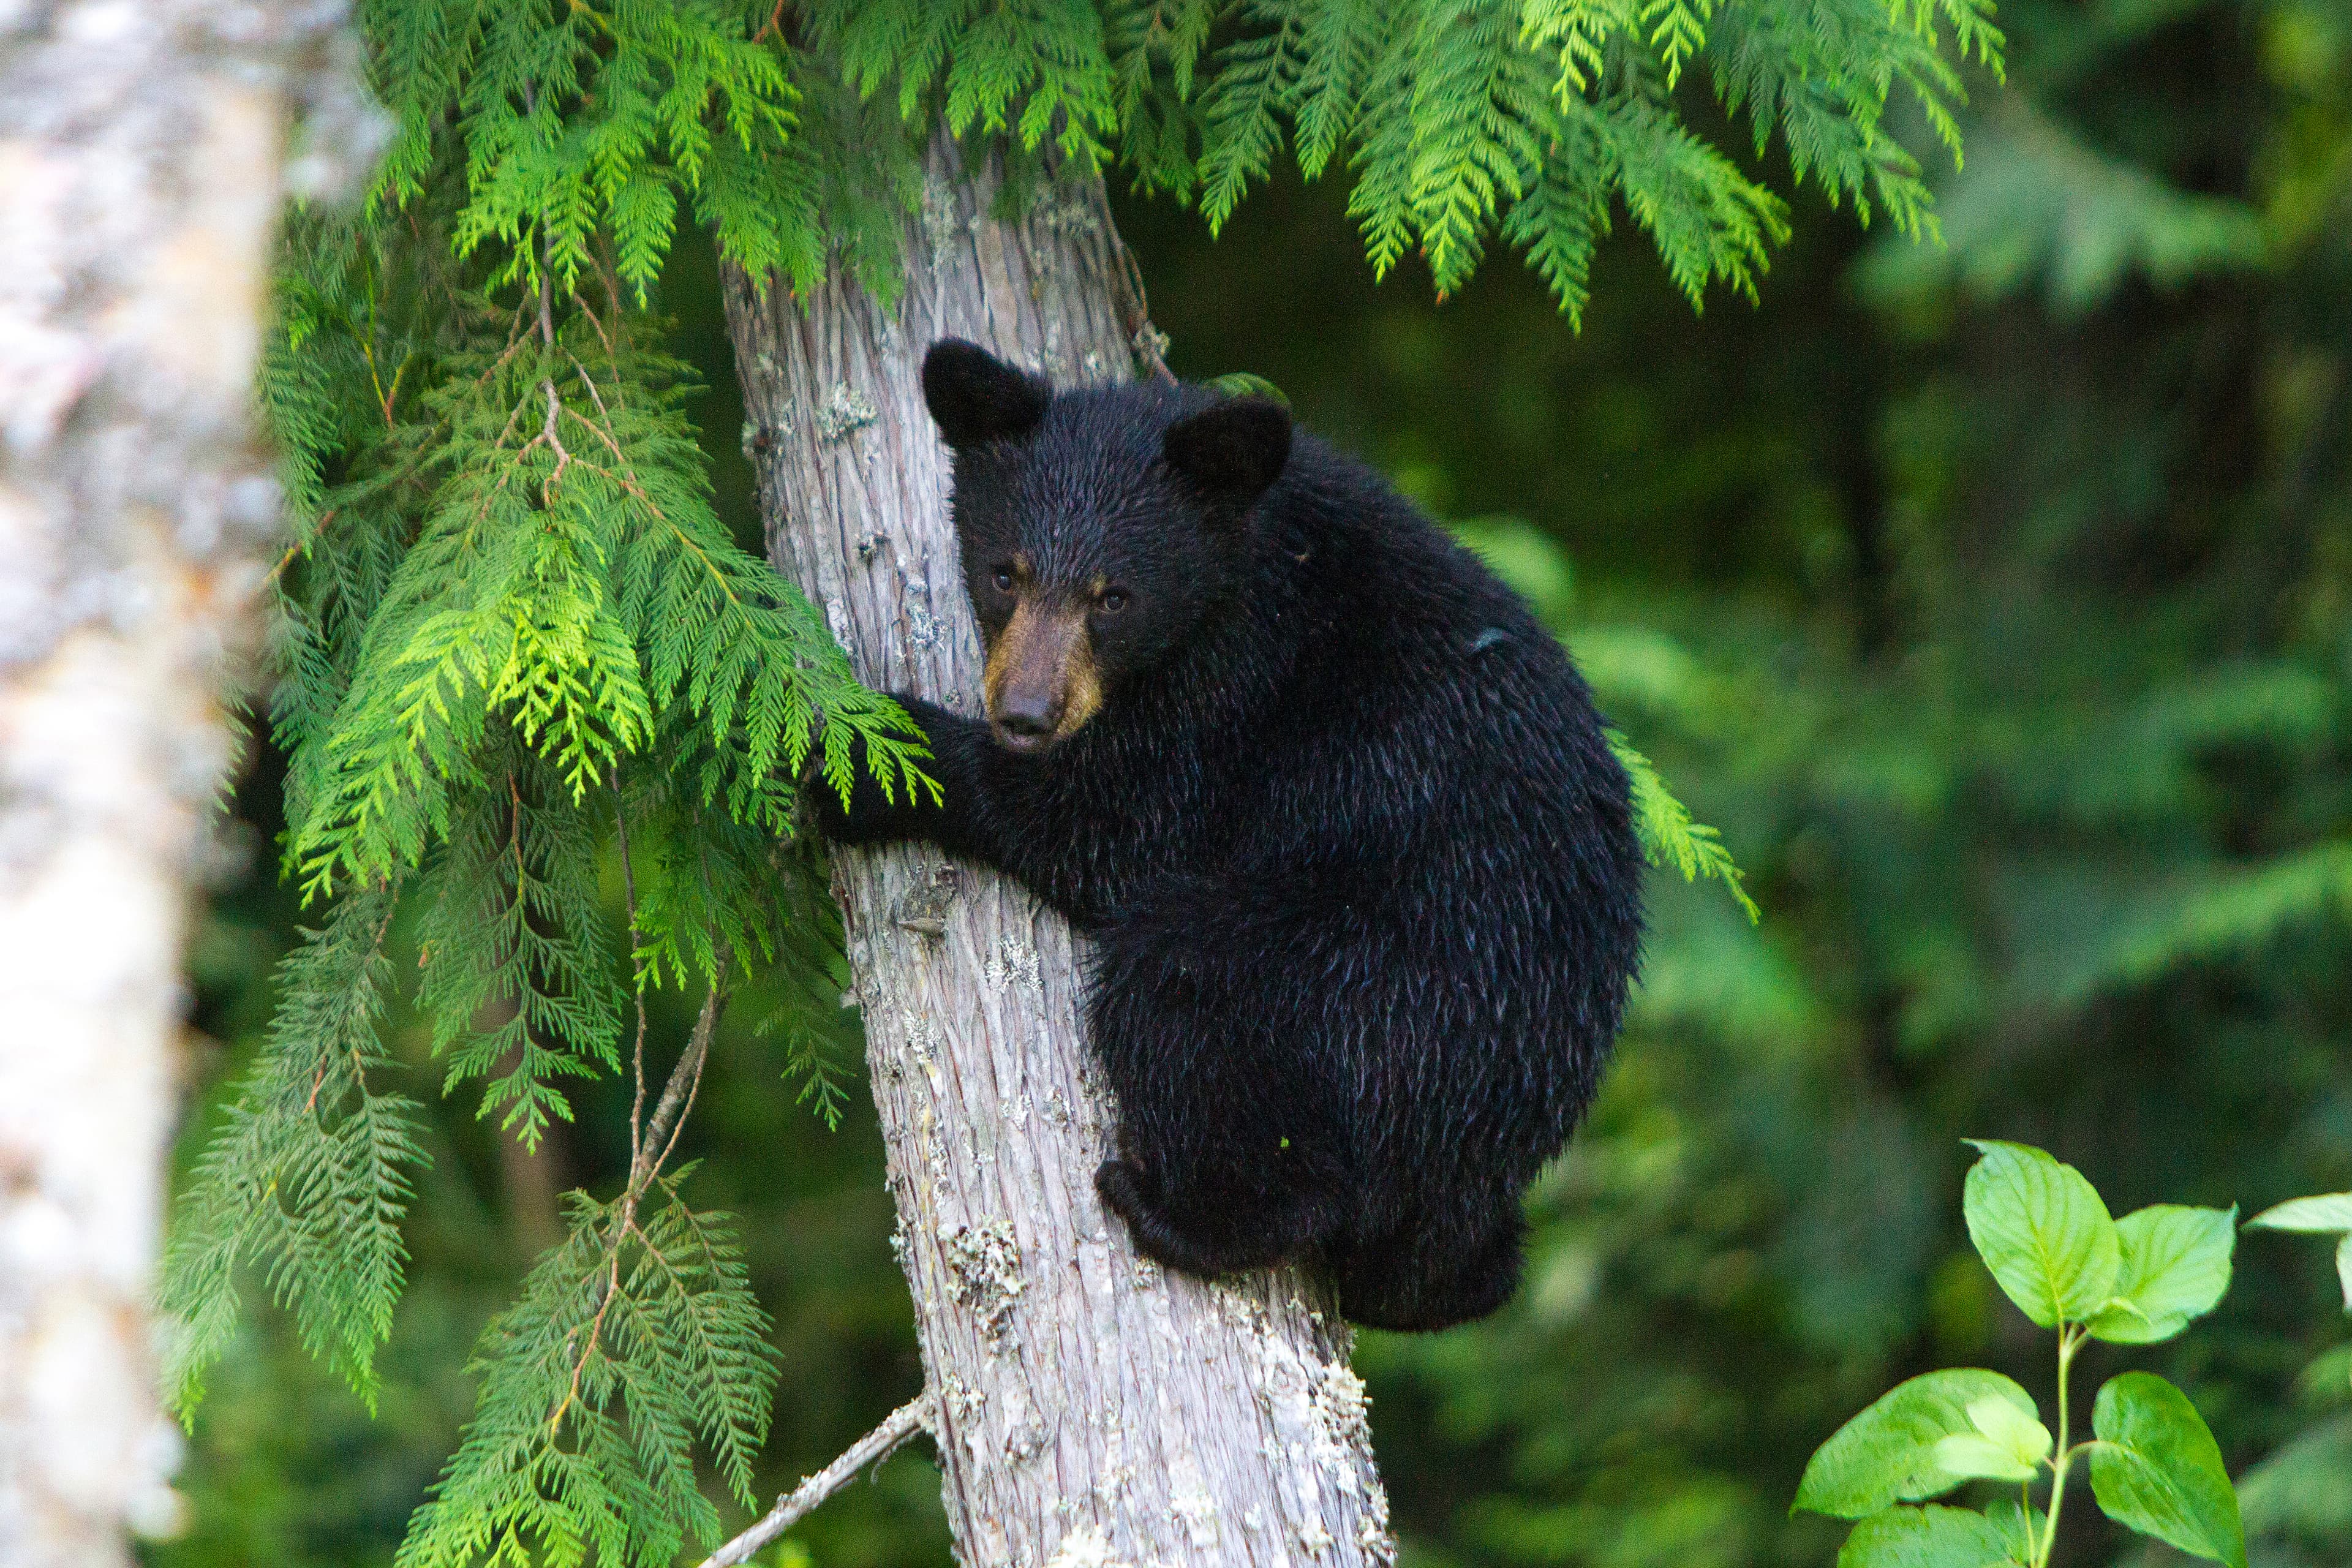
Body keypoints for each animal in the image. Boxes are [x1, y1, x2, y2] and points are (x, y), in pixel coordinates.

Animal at [805, 339, 1644, 1331]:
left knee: (1184, 990)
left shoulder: (1239, 686)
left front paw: (868, 762)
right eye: (1006, 572)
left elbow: (1116, 828)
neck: (1246, 560)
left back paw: (1177, 1212)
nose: (1026, 715)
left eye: (1113, 597)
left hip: (1367, 978)